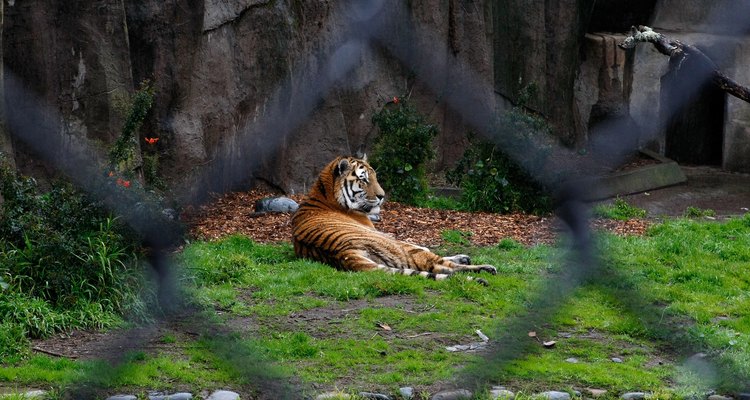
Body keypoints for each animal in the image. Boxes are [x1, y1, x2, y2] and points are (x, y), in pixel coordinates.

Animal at [294, 155, 500, 282]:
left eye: (375, 177)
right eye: (364, 179)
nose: (382, 196)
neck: (325, 193)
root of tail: (342, 253)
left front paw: (463, 256)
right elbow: (425, 247)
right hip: (399, 247)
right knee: (440, 265)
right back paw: (485, 270)